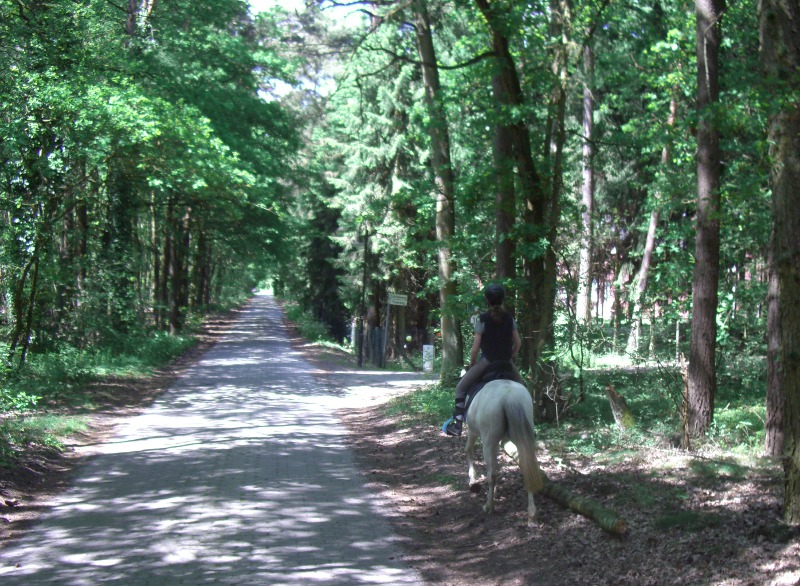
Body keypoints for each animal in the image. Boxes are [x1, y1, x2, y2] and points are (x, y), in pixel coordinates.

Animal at [465, 379, 545, 526]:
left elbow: (468, 450)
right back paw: (532, 514)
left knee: (491, 474)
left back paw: (489, 506)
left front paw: (473, 479)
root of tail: (509, 394)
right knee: (527, 467)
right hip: (522, 438)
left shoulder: (472, 431)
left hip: (488, 441)